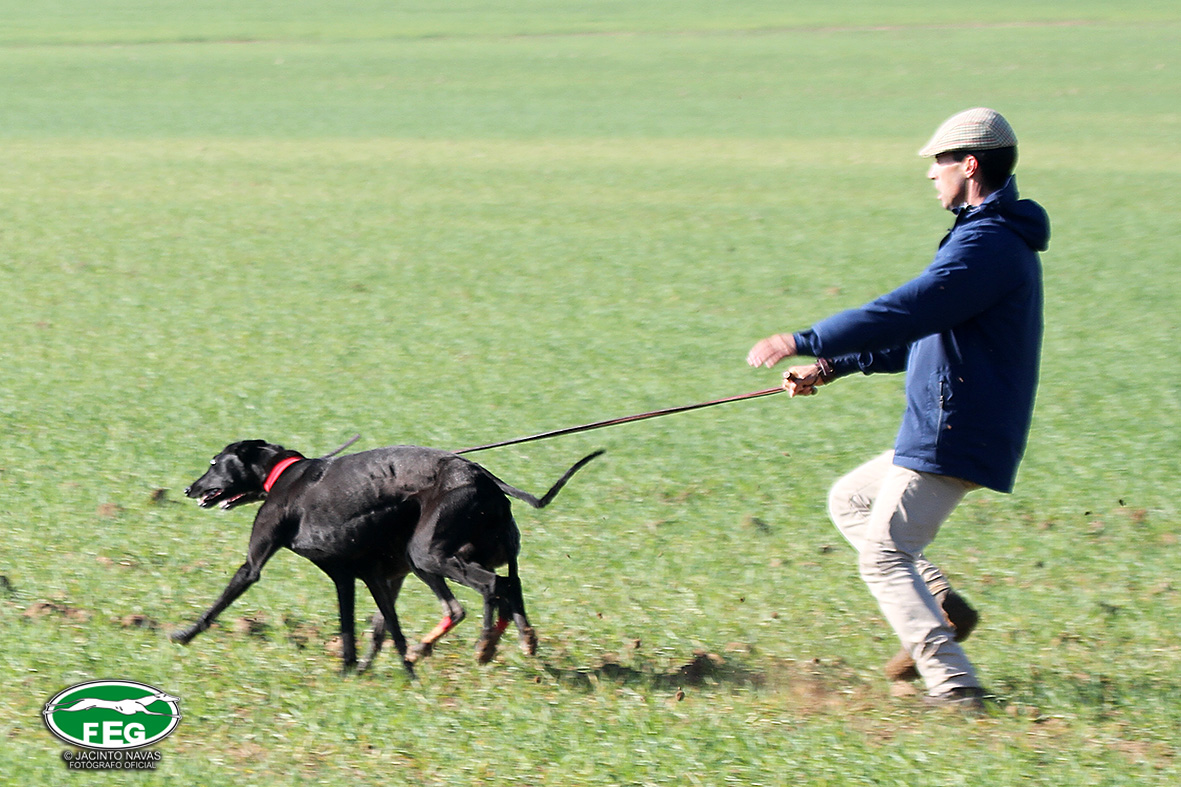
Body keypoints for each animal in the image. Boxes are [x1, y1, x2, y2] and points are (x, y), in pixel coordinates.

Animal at [172, 440, 601, 676]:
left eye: (214, 463)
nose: (190, 489)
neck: (283, 475)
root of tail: (485, 477)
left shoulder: (258, 565)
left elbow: (223, 597)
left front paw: (185, 635)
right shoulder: (360, 576)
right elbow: (369, 626)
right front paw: (358, 667)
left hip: (428, 555)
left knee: (491, 587)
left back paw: (485, 645)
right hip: (457, 557)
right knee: (510, 586)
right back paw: (521, 639)